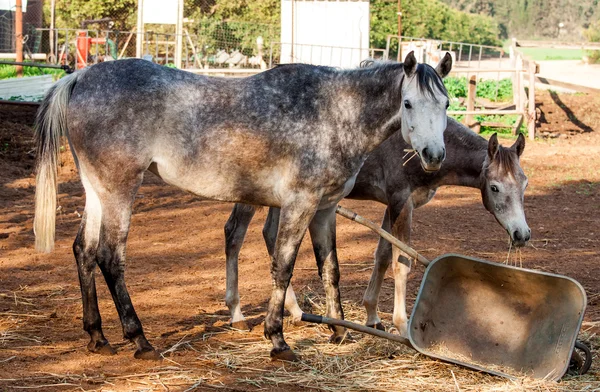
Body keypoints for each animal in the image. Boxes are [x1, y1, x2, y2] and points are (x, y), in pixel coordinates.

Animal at [34, 52, 450, 362]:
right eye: (408, 103)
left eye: (446, 103)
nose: (434, 155)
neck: (333, 111)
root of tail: (80, 77)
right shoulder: (300, 204)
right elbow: (283, 267)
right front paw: (278, 340)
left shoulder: (325, 209)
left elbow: (330, 269)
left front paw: (337, 330)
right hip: (120, 190)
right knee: (109, 257)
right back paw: (139, 340)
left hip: (96, 190)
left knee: (84, 251)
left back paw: (97, 336)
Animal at [223, 118, 528, 336]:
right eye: (494, 187)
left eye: (524, 183)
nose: (522, 234)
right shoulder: (401, 201)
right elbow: (401, 262)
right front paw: (403, 326)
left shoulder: (393, 204)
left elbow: (382, 256)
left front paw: (372, 316)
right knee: (234, 234)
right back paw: (237, 314)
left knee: (270, 235)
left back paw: (295, 311)